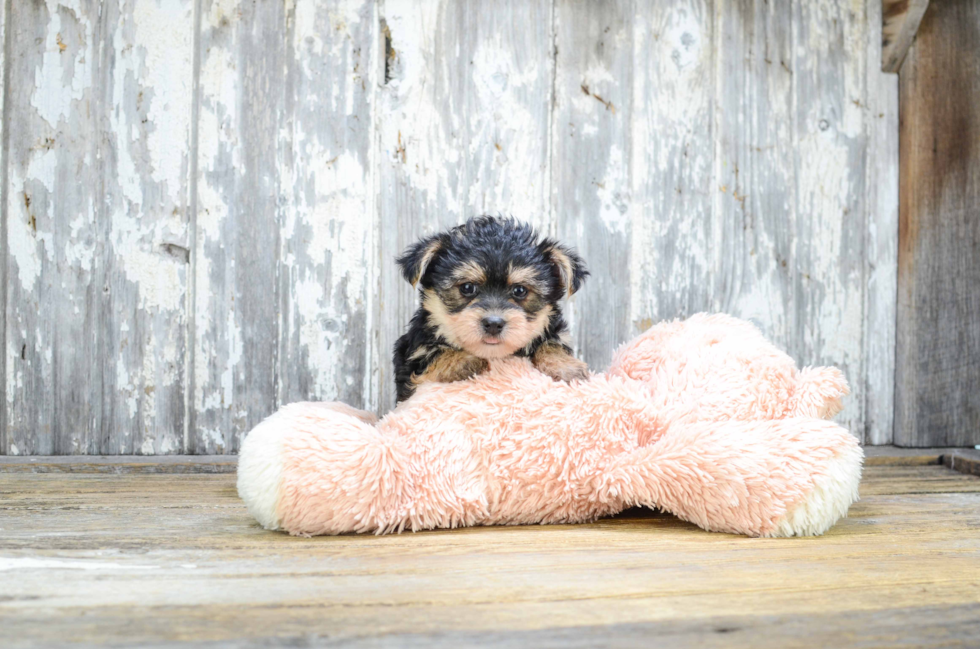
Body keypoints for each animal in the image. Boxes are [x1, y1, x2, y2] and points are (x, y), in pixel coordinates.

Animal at [392, 215, 588, 402]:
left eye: (520, 290)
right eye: (467, 287)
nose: (493, 323)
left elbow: (553, 342)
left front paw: (565, 365)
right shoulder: (414, 352)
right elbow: (433, 352)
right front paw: (463, 361)